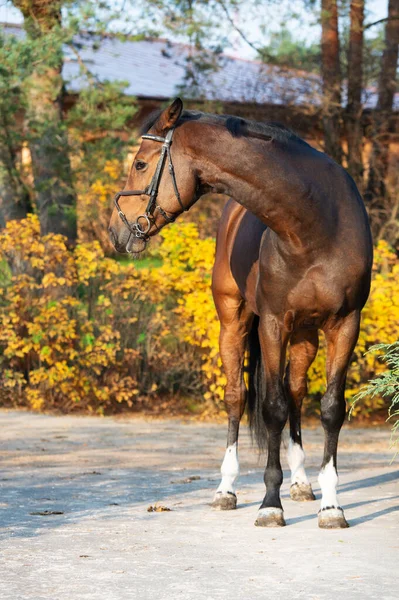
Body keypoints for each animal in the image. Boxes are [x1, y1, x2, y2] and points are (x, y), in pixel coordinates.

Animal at [109, 99, 376, 528]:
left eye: (140, 163)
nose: (115, 231)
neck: (315, 224)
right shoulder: (272, 324)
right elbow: (271, 408)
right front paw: (270, 504)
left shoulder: (346, 324)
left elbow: (330, 409)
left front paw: (332, 506)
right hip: (233, 323)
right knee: (237, 397)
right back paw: (226, 489)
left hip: (305, 335)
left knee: (295, 392)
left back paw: (301, 483)